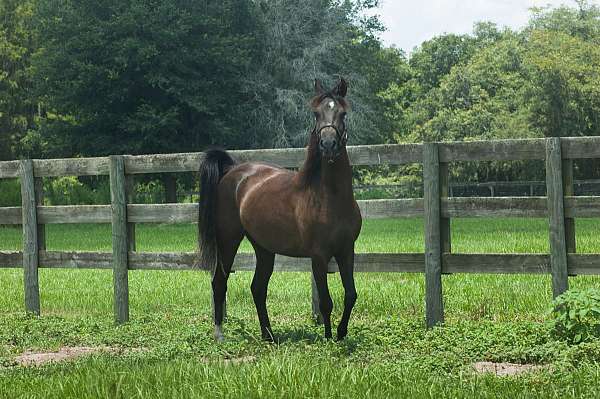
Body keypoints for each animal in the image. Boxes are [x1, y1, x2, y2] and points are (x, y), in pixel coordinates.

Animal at [198, 79, 360, 344]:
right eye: (316, 114)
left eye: (342, 113)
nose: (328, 145)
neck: (331, 199)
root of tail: (232, 171)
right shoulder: (319, 256)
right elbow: (326, 302)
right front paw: (327, 339)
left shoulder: (346, 251)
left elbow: (351, 295)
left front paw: (341, 333)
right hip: (228, 239)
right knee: (219, 282)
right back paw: (220, 334)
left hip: (263, 248)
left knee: (257, 288)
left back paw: (269, 335)